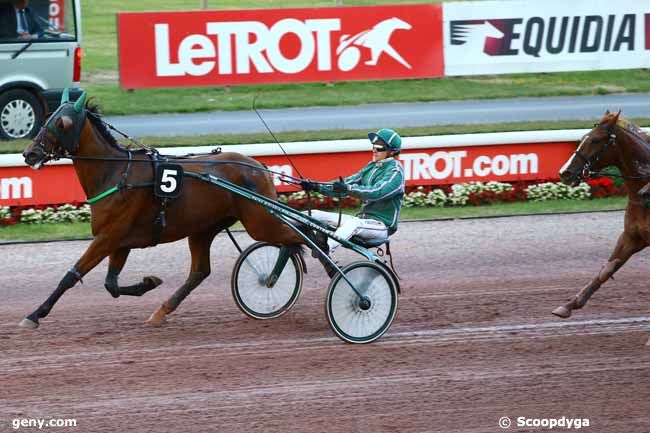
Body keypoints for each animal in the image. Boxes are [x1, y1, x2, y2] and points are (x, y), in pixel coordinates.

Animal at [20, 90, 304, 328]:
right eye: (48, 118)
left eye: (62, 124)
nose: (29, 153)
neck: (115, 173)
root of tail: (259, 167)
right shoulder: (120, 241)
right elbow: (111, 284)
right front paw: (149, 282)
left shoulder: (108, 236)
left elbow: (72, 275)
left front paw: (34, 315)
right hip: (203, 228)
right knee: (200, 272)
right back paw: (161, 311)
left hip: (260, 221)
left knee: (300, 237)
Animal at [548, 110, 648, 320]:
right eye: (583, 138)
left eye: (595, 140)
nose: (565, 172)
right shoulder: (631, 237)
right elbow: (606, 269)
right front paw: (568, 305)